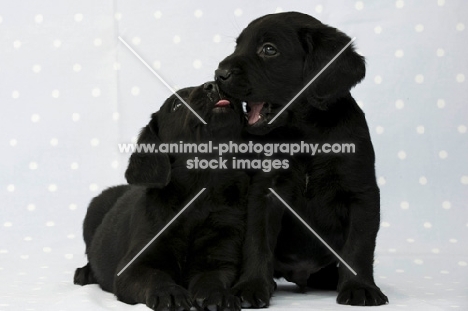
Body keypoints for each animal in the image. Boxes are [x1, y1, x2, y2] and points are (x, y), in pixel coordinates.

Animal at [74, 83, 249, 311]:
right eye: (176, 105)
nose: (214, 85)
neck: (199, 191)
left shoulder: (220, 257)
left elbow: (213, 278)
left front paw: (218, 295)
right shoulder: (132, 267)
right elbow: (155, 276)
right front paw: (170, 293)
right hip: (94, 209)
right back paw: (85, 273)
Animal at [215, 11, 388, 308]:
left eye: (269, 49)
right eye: (237, 45)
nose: (219, 74)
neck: (305, 135)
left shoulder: (361, 193)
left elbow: (359, 246)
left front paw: (360, 287)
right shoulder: (265, 192)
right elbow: (257, 242)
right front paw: (251, 286)